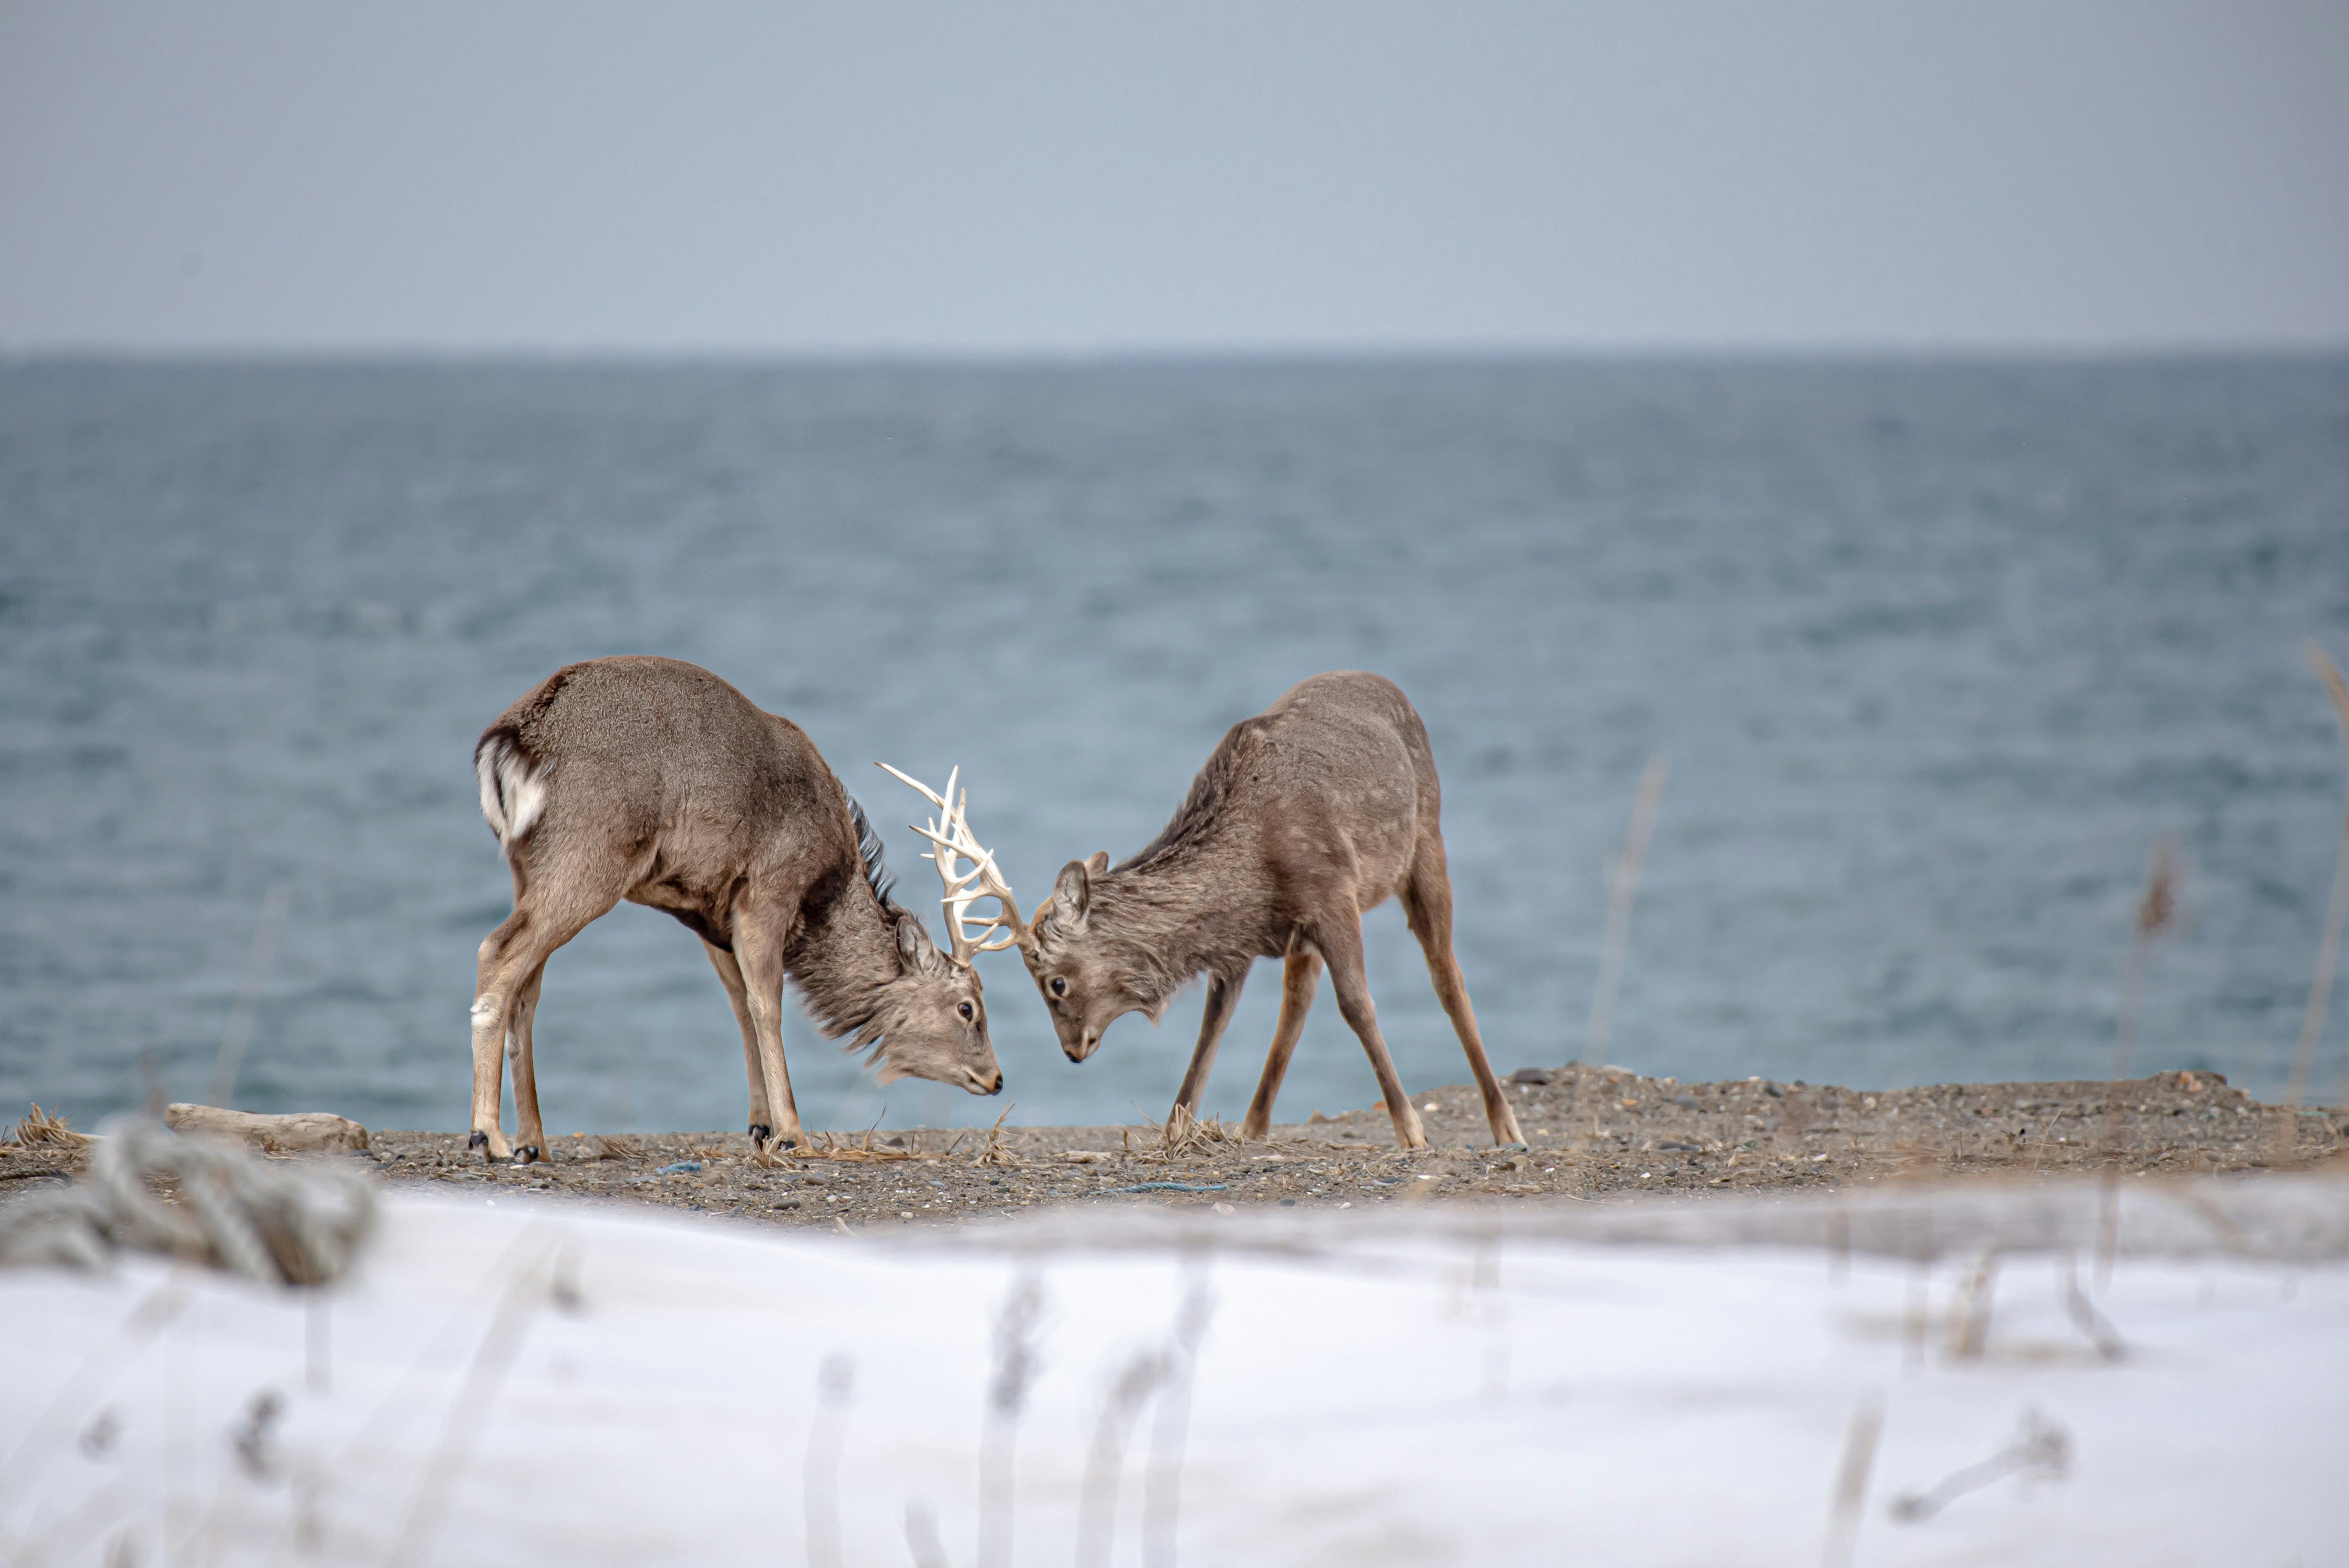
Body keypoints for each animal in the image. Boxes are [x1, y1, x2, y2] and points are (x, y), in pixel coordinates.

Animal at [465, 655, 1020, 1164]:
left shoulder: (711, 911)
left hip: (528, 866)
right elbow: (767, 1004)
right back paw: (487, 1136)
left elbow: (739, 1002)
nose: (996, 1078)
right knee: (497, 951)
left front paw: (760, 1125)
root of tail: (508, 743)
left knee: (527, 988)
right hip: (591, 854)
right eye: (968, 1007)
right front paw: (792, 1133)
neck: (826, 886)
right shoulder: (768, 887)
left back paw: (534, 1142)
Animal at [1008, 670, 1525, 1151]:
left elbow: (1357, 1004)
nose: (1073, 1050)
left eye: (1055, 983)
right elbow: (1213, 1024)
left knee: (1447, 976)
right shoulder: (1243, 940)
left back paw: (1507, 1126)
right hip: (1305, 933)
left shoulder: (1334, 895)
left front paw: (1411, 1131)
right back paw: (1254, 1124)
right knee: (1299, 996)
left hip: (1426, 843)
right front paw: (1176, 1128)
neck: (1249, 871)